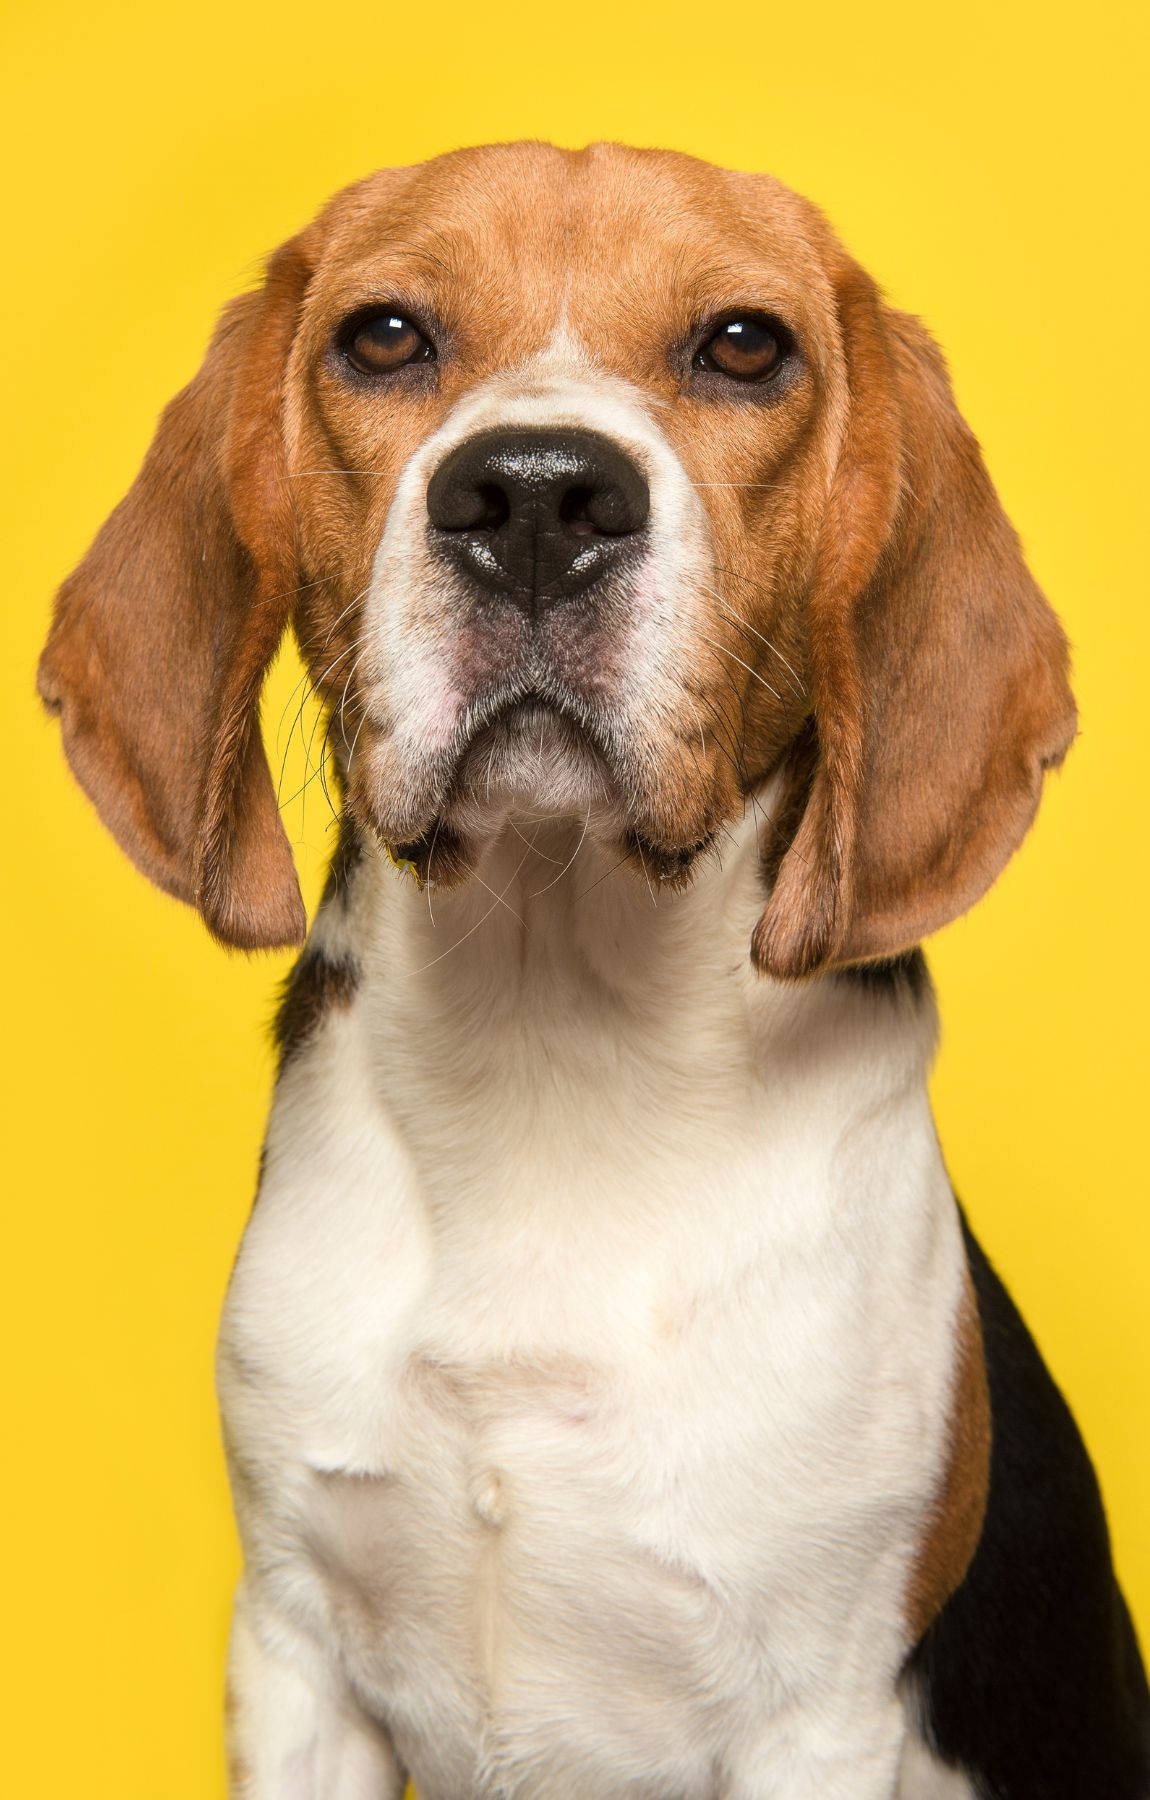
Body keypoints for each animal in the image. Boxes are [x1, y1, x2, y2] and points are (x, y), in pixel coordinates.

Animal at [38, 144, 1150, 1800]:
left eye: (744, 346)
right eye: (383, 335)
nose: (535, 498)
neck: (550, 1045)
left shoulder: (810, 1716)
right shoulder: (293, 1654)